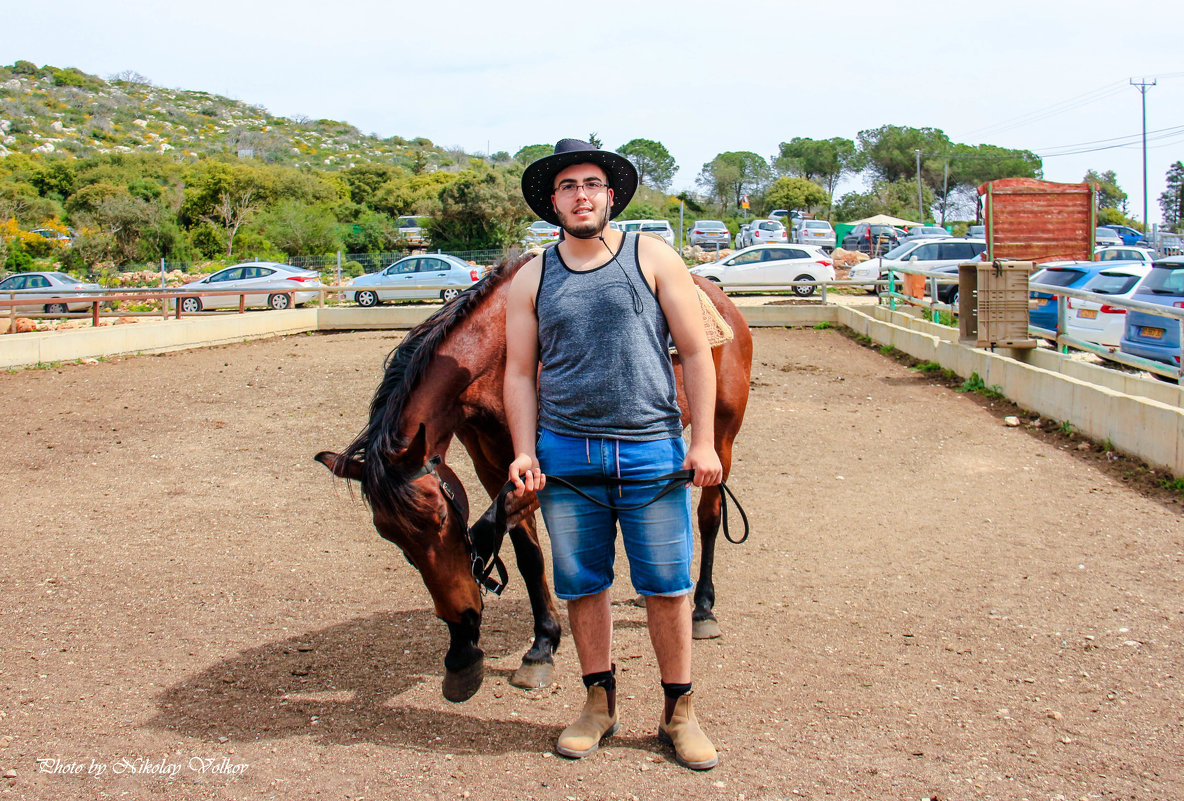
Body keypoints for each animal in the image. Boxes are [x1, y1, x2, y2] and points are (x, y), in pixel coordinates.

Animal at [317, 253, 748, 705]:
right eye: (391, 538)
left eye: (440, 518)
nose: (463, 618)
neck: (499, 357)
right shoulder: (493, 466)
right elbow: (527, 552)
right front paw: (535, 643)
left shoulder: (546, 471)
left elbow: (491, 530)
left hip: (720, 438)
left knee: (709, 517)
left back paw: (702, 608)